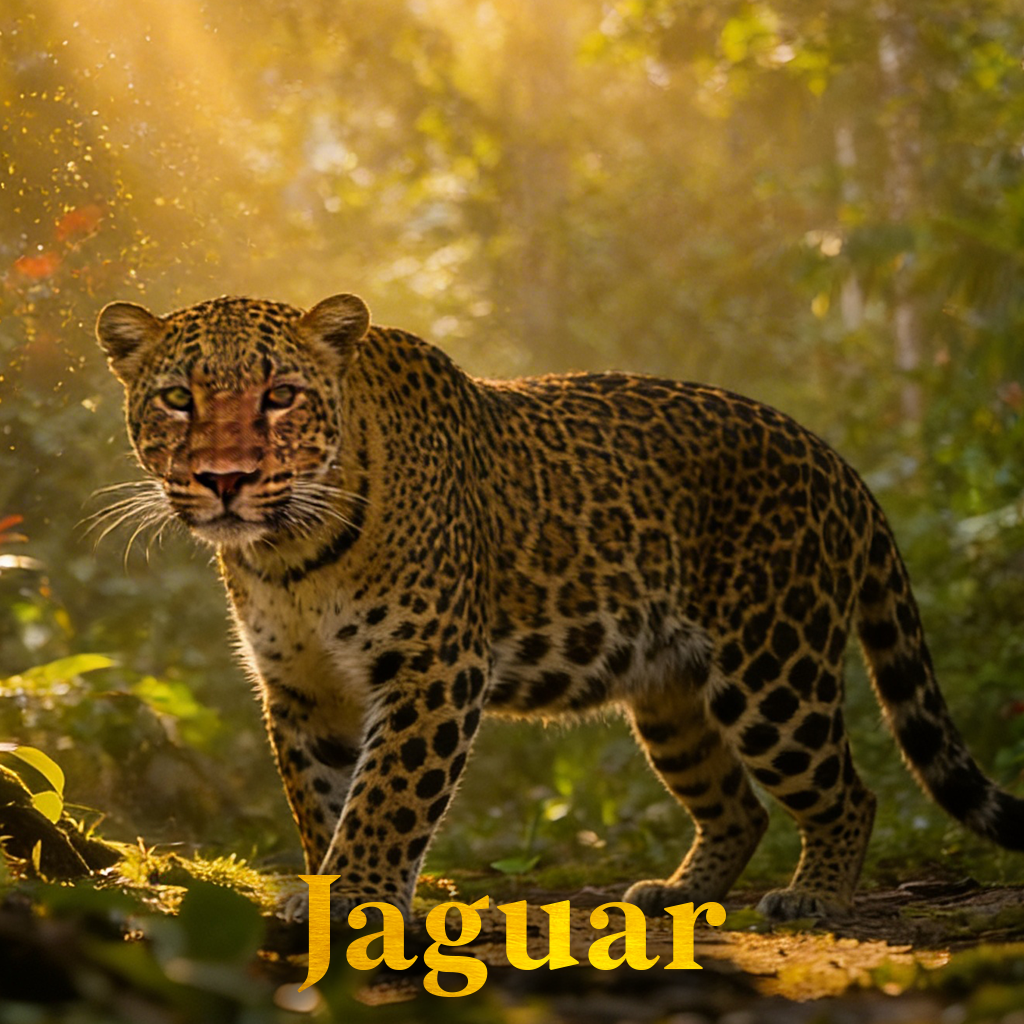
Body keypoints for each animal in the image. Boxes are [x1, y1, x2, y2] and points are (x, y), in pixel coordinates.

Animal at [96, 291, 1024, 925]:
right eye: (177, 399)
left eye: (281, 395)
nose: (224, 478)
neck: (291, 555)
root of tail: (840, 465)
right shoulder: (301, 690)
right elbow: (321, 799)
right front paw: (330, 889)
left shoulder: (433, 671)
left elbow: (387, 797)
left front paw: (358, 892)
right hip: (672, 699)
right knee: (738, 805)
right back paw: (675, 892)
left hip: (774, 672)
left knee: (846, 792)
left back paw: (816, 897)